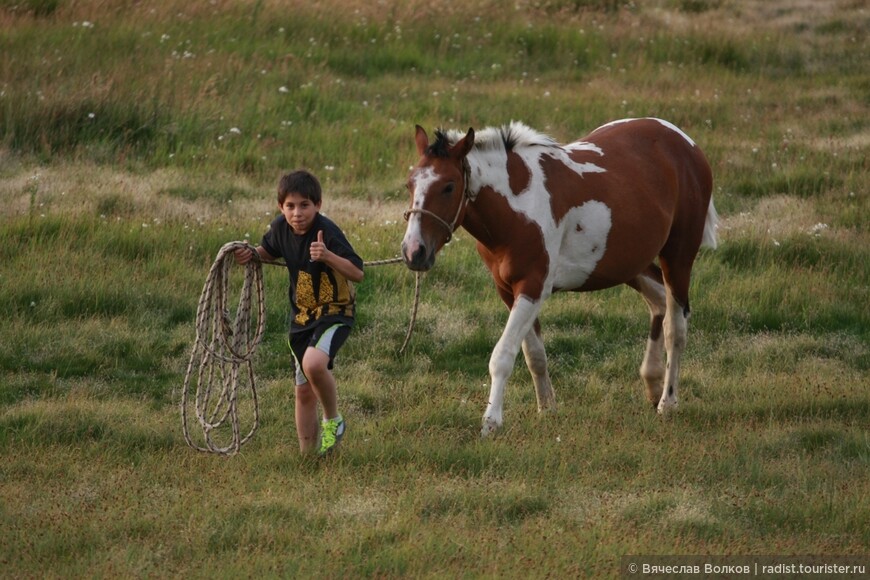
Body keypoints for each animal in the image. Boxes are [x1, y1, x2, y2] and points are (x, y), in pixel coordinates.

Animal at [402, 116, 724, 436]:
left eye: (448, 186)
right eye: (410, 183)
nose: (413, 251)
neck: (519, 206)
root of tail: (685, 144)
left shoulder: (533, 287)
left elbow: (503, 356)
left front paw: (491, 422)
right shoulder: (507, 290)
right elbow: (535, 355)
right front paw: (547, 409)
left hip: (678, 257)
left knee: (676, 328)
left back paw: (667, 403)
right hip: (630, 261)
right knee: (658, 301)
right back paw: (652, 384)